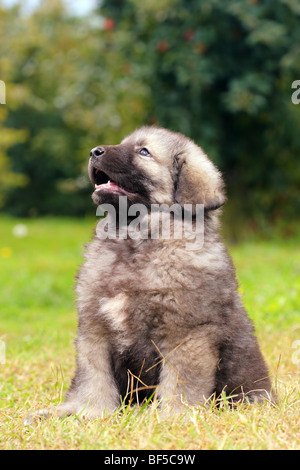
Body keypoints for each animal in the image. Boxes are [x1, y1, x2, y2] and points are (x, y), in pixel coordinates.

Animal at [26, 127, 274, 422]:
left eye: (144, 152)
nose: (94, 151)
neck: (136, 240)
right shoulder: (95, 329)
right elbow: (94, 378)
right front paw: (91, 412)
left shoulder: (186, 334)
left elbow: (180, 382)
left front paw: (173, 416)